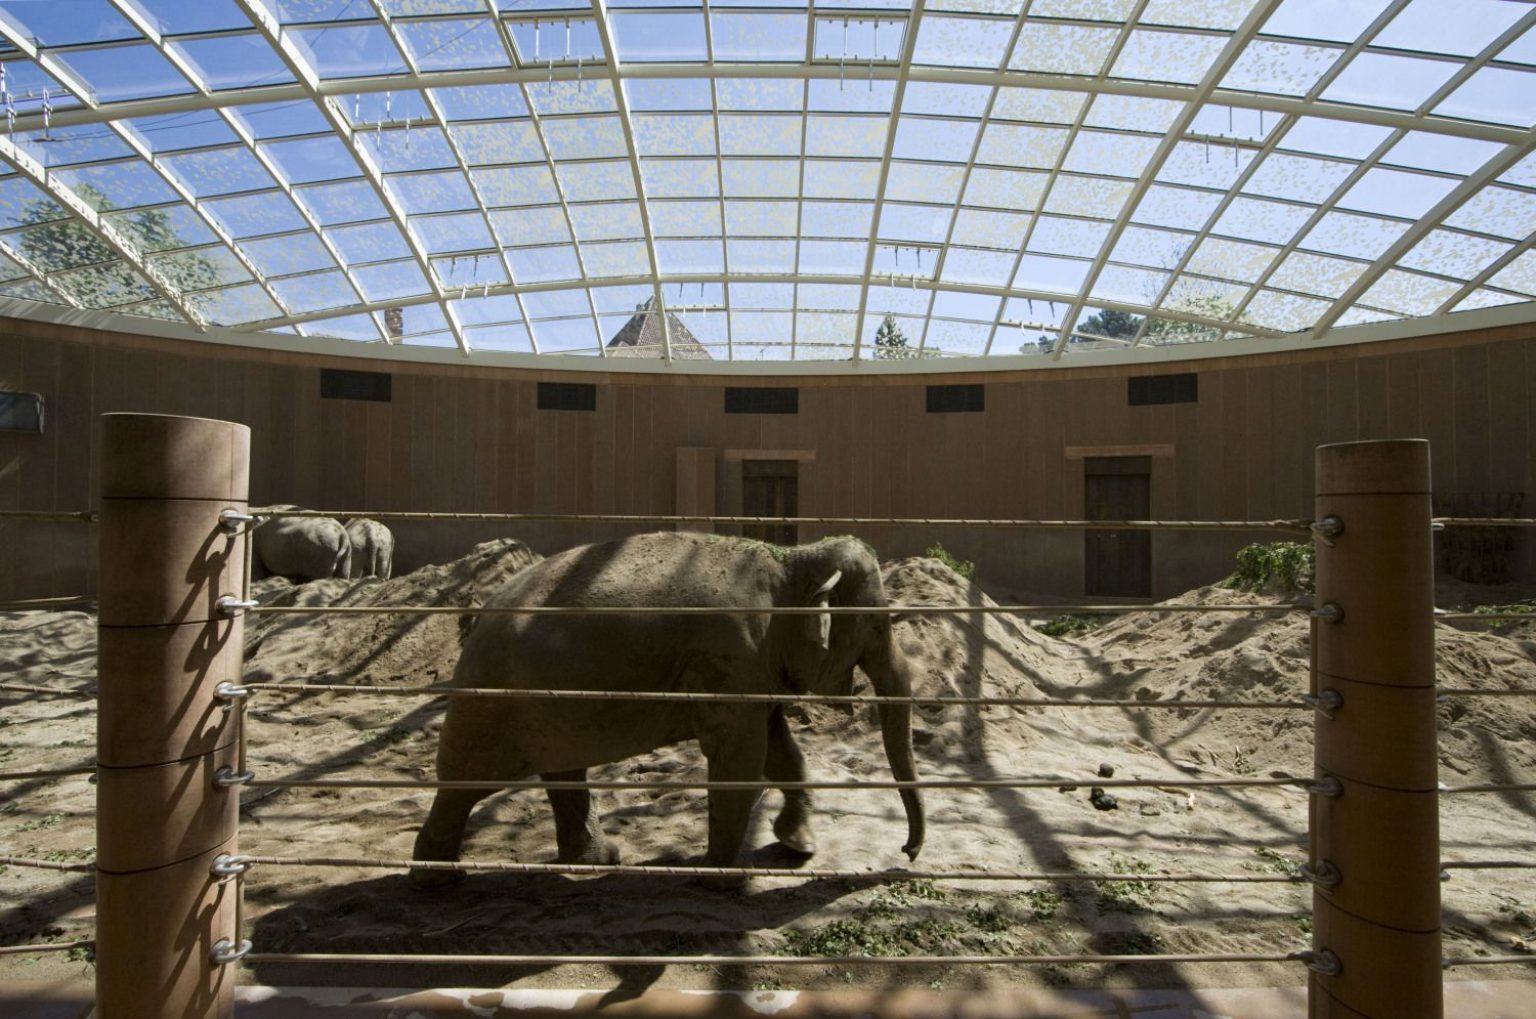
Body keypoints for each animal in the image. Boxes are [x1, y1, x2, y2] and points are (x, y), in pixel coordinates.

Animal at [410, 532, 924, 885]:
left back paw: (599, 861)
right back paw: (437, 881)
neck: (791, 560)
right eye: (878, 627)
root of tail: (477, 622)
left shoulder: (753, 666)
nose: (907, 852)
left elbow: (781, 750)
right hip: (493, 705)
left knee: (563, 772)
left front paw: (799, 844)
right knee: (463, 785)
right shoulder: (731, 655)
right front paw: (721, 879)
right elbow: (740, 757)